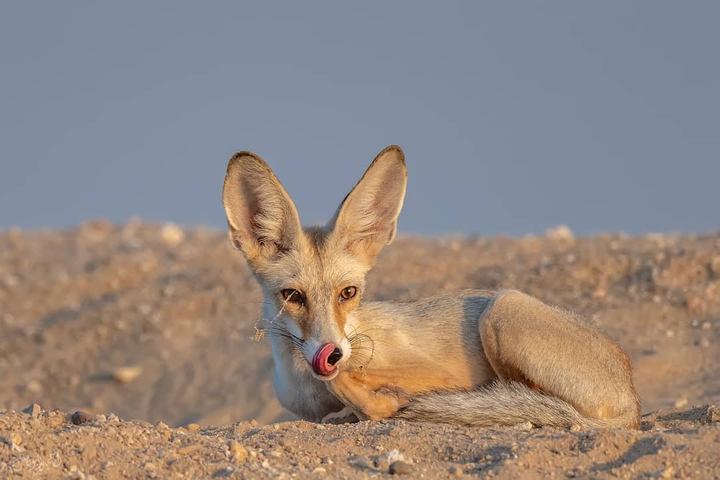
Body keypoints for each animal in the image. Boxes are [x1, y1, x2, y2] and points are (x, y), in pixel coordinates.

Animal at [221, 145, 641, 429]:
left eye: (348, 293)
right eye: (293, 296)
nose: (333, 353)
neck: (307, 384)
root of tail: (633, 400)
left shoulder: (445, 377)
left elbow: (354, 387)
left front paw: (377, 402)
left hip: (503, 308)